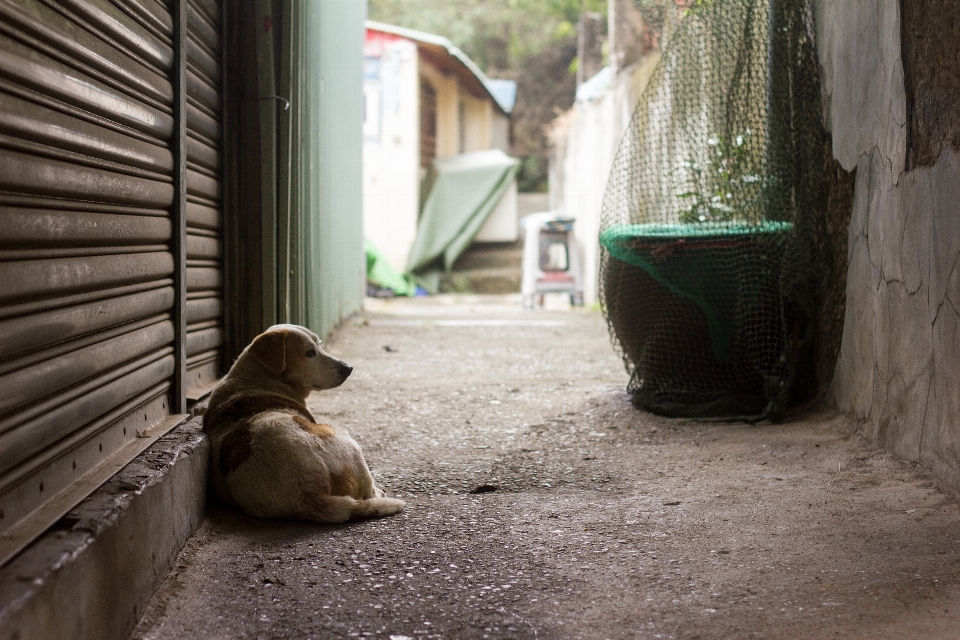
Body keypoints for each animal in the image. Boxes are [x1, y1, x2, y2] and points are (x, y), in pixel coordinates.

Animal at [204, 322, 404, 524]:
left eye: (319, 344)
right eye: (309, 353)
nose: (348, 368)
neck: (257, 379)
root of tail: (307, 496)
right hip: (344, 439)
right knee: (368, 491)